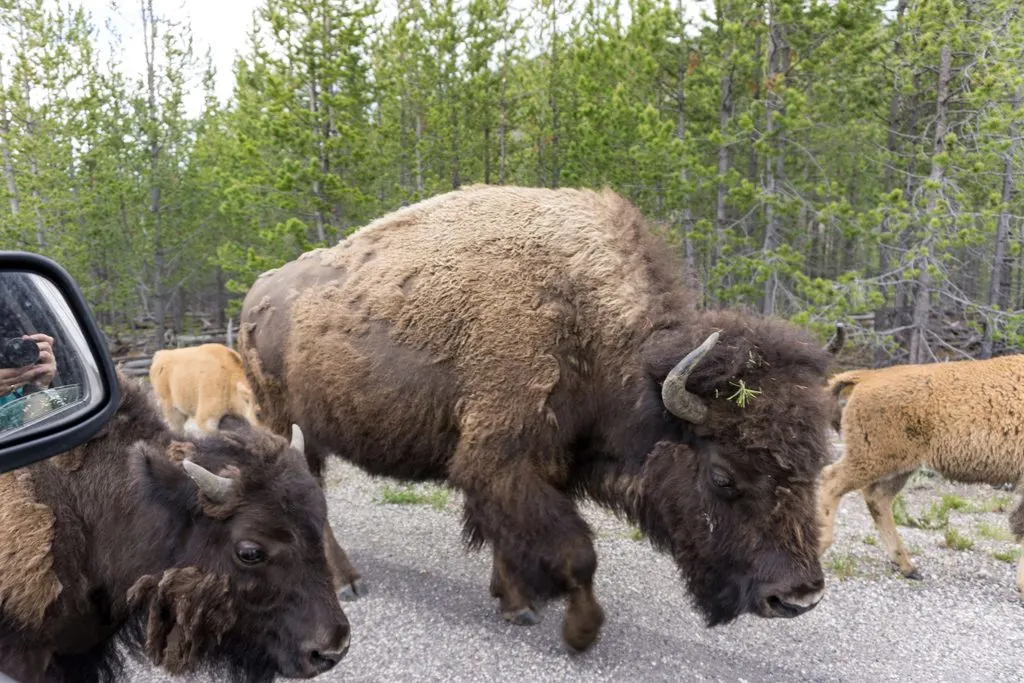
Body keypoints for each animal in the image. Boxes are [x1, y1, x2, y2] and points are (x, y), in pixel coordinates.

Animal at [237, 183, 839, 651]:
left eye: (818, 464)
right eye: (722, 476)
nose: (798, 595)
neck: (583, 320)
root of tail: (256, 293)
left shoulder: (527, 467)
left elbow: (508, 535)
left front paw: (515, 602)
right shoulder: (501, 460)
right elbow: (576, 553)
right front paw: (579, 632)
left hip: (313, 427)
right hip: (275, 419)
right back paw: (347, 583)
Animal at [819, 358, 1024, 598]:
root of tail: (867, 377)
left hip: (899, 467)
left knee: (877, 498)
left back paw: (907, 567)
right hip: (873, 459)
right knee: (832, 481)